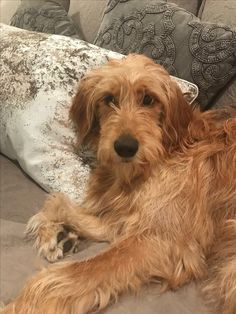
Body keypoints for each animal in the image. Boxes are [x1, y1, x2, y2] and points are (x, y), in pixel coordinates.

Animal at [2, 54, 236, 314]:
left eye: (148, 99)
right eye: (109, 99)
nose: (125, 147)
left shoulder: (166, 239)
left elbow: (81, 271)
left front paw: (24, 304)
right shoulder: (127, 218)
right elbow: (59, 201)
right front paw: (58, 231)